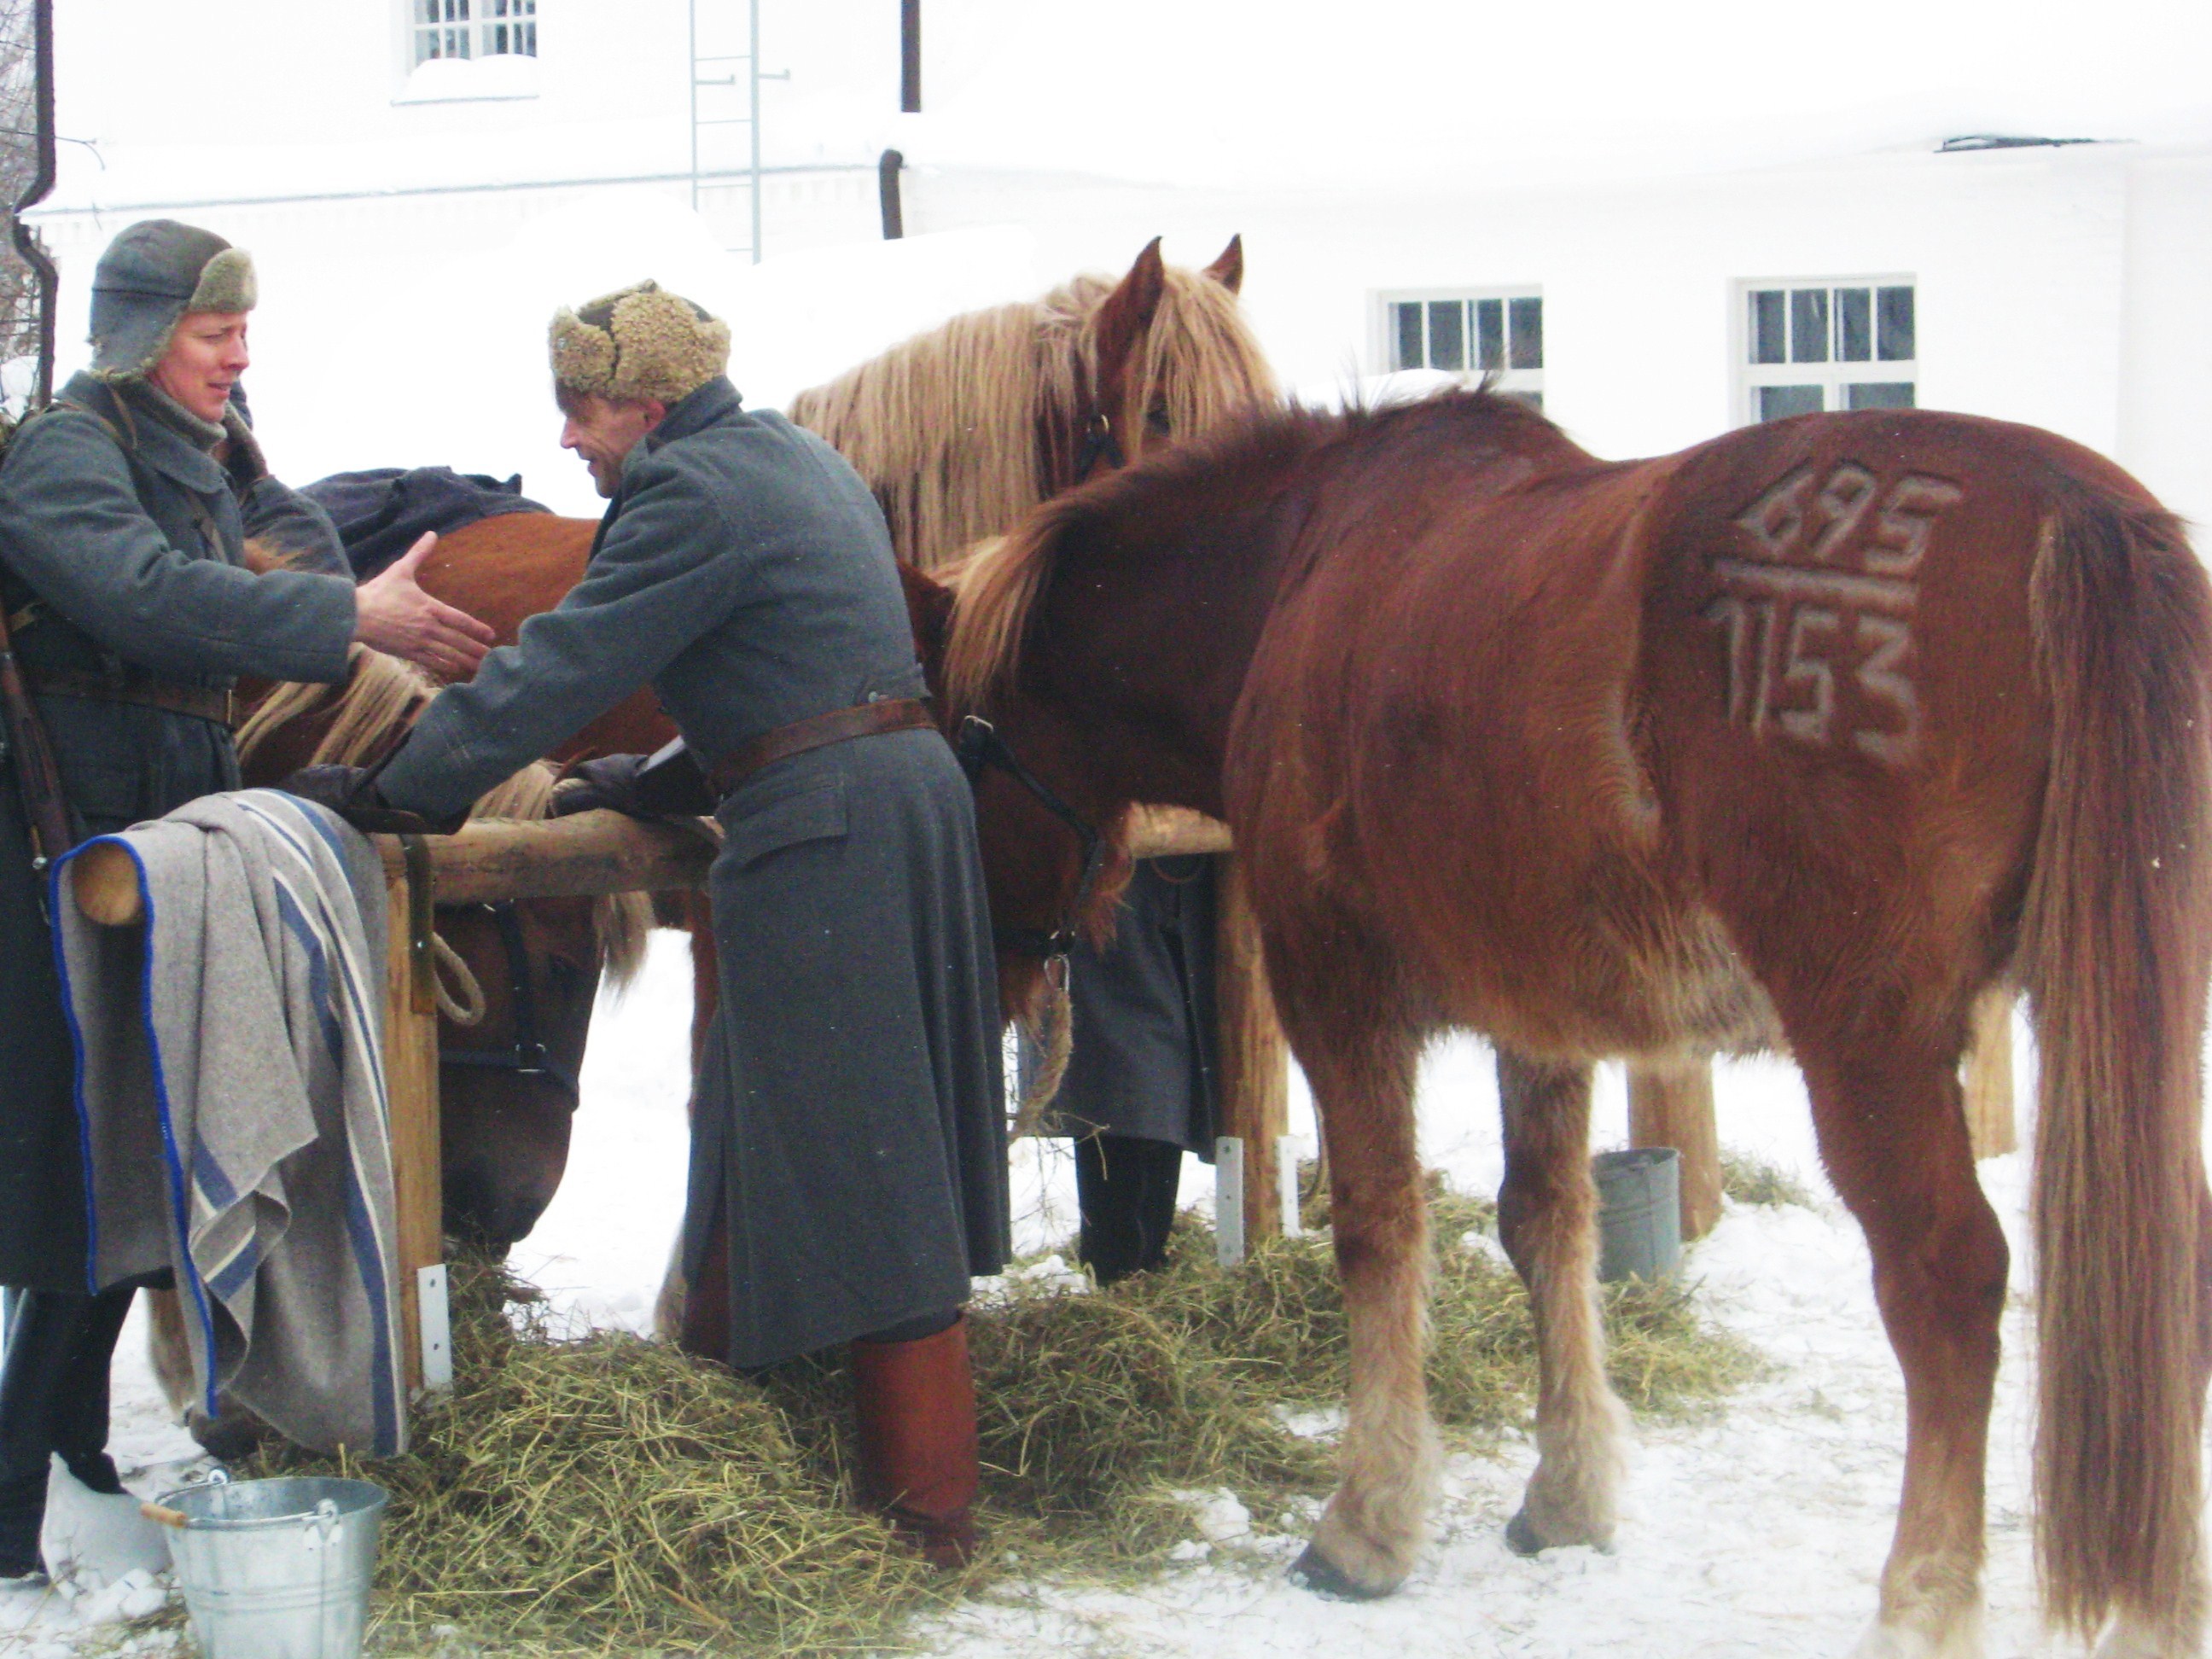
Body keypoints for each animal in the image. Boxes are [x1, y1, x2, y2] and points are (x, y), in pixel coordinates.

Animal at [942, 393, 2212, 1659]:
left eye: (960, 753)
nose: (995, 979)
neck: (1301, 567)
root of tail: (2079, 511)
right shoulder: (1540, 1016)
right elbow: (1546, 1222)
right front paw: (1566, 1496)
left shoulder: (1339, 991)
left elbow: (1379, 1230)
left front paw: (1369, 1522)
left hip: (1870, 1042)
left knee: (1947, 1280)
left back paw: (1922, 1604)